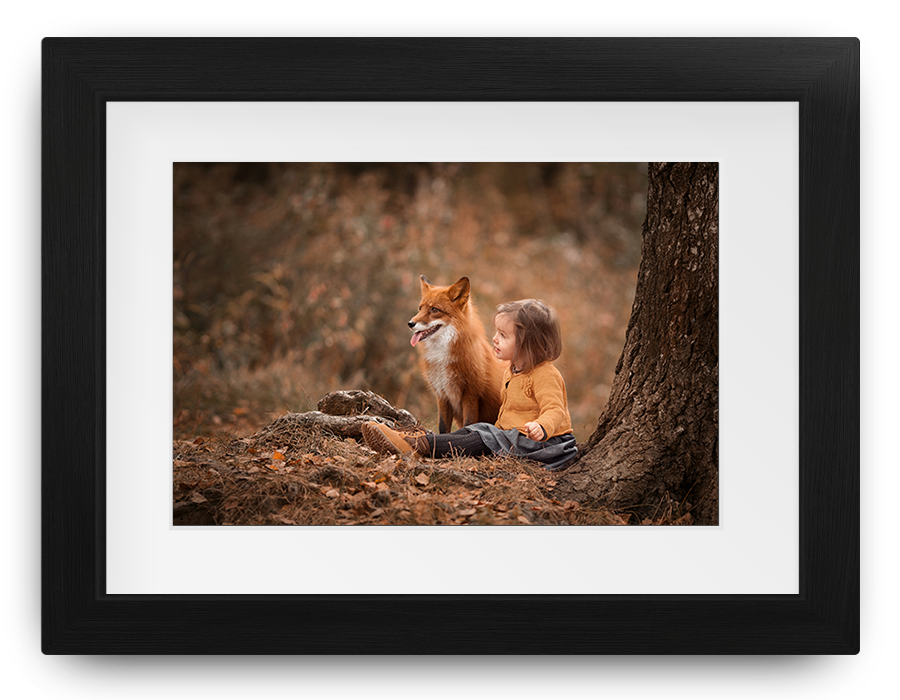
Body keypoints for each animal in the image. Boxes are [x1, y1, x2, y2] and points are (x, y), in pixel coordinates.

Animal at [410, 274, 506, 432]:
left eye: (434, 309)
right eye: (420, 308)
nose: (410, 323)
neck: (442, 360)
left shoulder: (471, 395)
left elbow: (469, 424)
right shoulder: (442, 395)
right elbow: (443, 427)